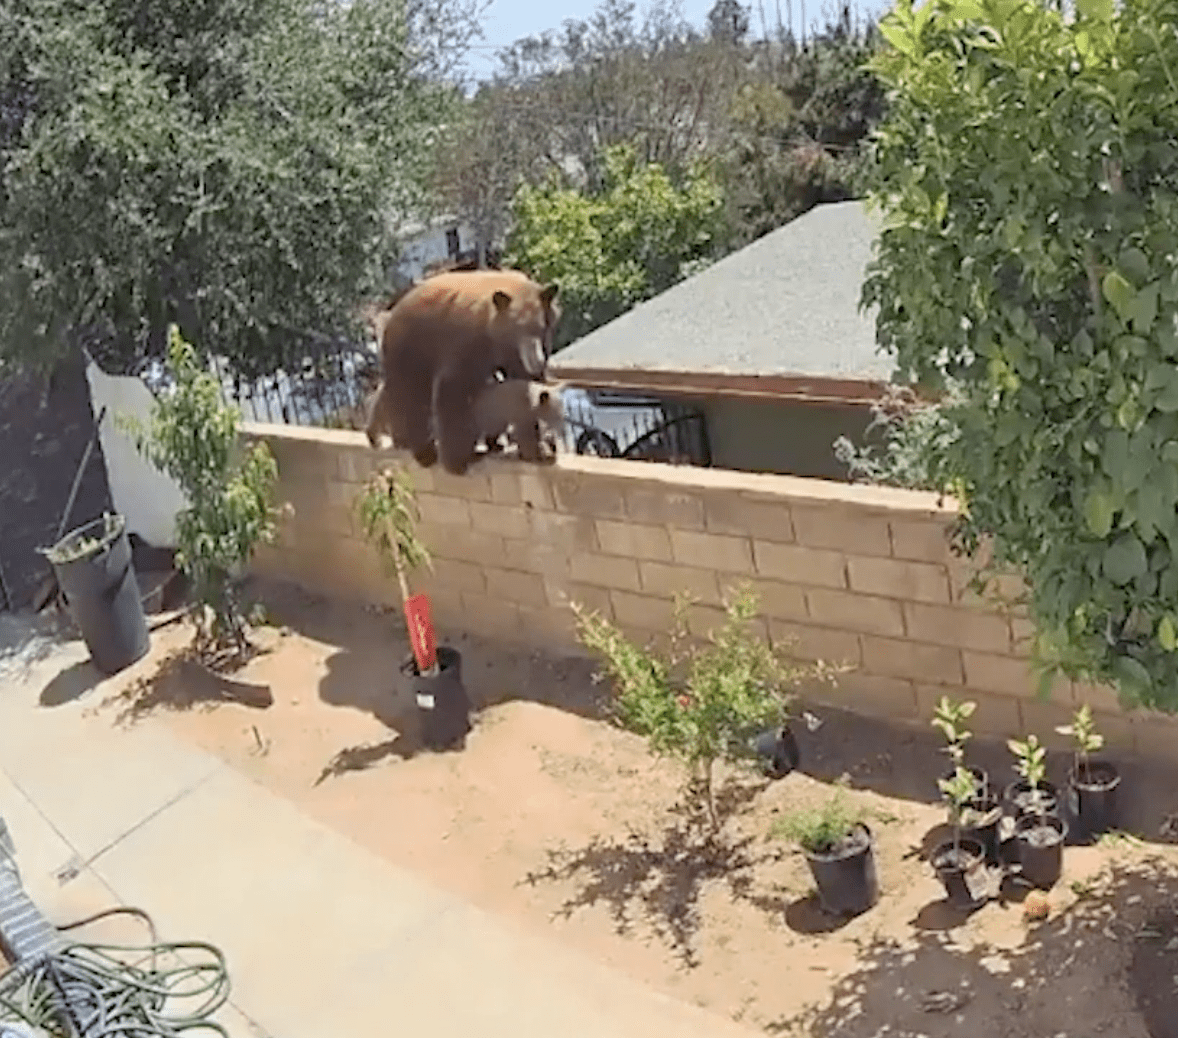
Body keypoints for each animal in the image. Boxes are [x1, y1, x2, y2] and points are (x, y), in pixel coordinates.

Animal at [363, 268, 560, 474]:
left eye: (541, 327)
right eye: (517, 327)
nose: (537, 361)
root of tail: (394, 310)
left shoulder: (515, 353)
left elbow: (525, 392)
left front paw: (538, 450)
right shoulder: (466, 342)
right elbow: (453, 388)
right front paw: (456, 461)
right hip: (411, 348)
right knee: (410, 394)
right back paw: (421, 450)